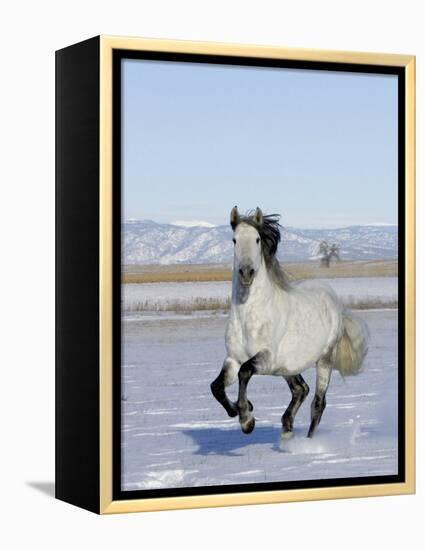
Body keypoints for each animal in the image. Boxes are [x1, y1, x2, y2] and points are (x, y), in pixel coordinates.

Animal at [210, 207, 368, 440]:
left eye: (257, 239)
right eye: (234, 240)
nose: (246, 272)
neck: (248, 318)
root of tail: (332, 297)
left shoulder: (266, 358)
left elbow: (245, 372)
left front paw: (247, 419)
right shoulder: (233, 359)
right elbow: (217, 387)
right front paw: (241, 409)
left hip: (325, 359)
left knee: (318, 404)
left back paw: (308, 441)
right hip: (289, 367)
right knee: (301, 389)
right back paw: (287, 431)